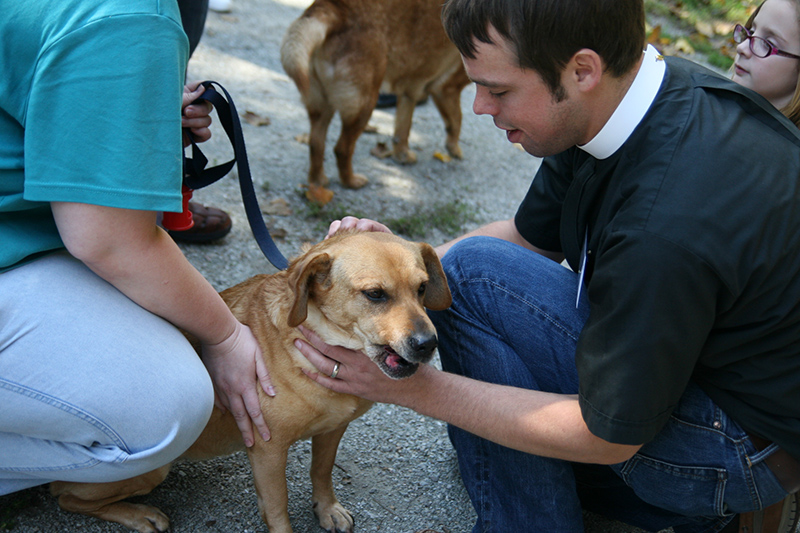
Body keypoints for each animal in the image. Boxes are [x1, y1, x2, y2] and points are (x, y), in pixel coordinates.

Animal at [48, 232, 450, 532]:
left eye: (422, 288)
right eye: (375, 294)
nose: (428, 344)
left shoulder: (333, 431)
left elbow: (321, 471)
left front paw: (326, 508)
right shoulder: (268, 451)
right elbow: (278, 505)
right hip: (152, 469)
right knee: (65, 497)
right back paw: (139, 514)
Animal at [280, 0, 468, 193]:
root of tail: (334, 8)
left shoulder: (408, 93)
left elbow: (403, 128)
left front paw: (402, 154)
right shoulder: (446, 89)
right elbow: (456, 120)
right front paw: (454, 148)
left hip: (321, 106)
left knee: (316, 144)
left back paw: (317, 182)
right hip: (365, 103)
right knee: (342, 149)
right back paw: (351, 181)